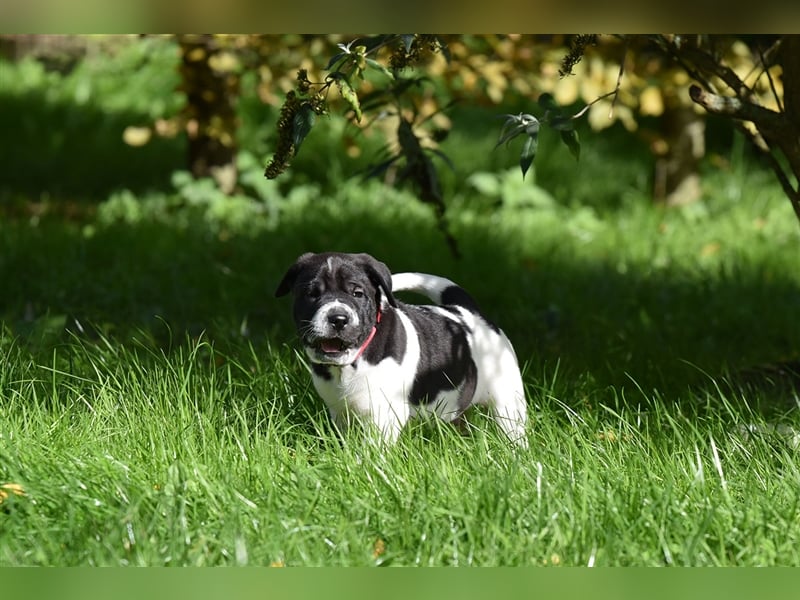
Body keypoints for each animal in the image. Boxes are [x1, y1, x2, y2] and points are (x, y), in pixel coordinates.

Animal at [272, 252, 528, 446]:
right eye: (311, 294)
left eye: (357, 293)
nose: (338, 319)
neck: (350, 364)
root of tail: (467, 311)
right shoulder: (339, 412)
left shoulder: (384, 414)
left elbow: (372, 447)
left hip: (508, 399)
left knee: (512, 428)